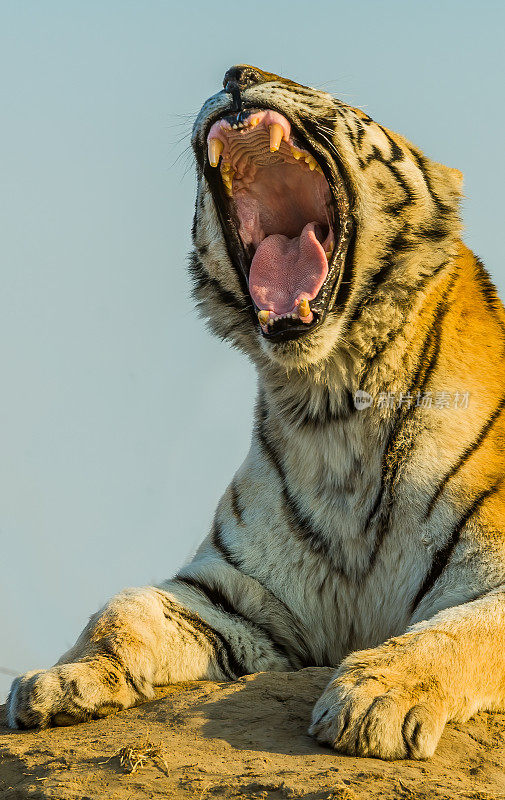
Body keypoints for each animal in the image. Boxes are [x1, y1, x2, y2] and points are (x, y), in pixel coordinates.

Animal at [6, 64, 504, 764]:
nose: (238, 73)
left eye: (337, 100)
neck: (332, 408)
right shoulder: (243, 596)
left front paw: (373, 699)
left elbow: (457, 631)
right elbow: (124, 609)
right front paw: (59, 681)